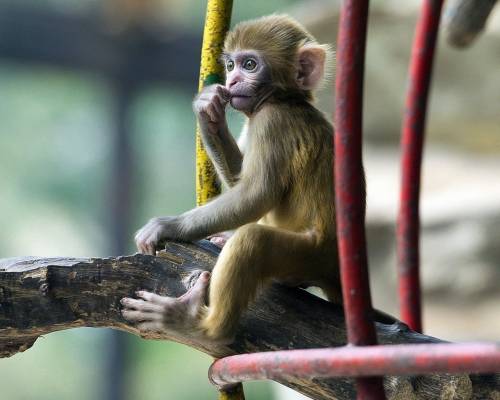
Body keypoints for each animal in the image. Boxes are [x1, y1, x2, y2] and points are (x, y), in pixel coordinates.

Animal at [121, 14, 340, 344]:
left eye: (249, 65)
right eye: (230, 65)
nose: (232, 81)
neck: (285, 99)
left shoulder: (272, 123)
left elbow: (255, 196)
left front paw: (166, 226)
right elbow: (240, 181)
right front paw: (207, 112)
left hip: (309, 255)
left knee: (254, 239)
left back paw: (204, 328)